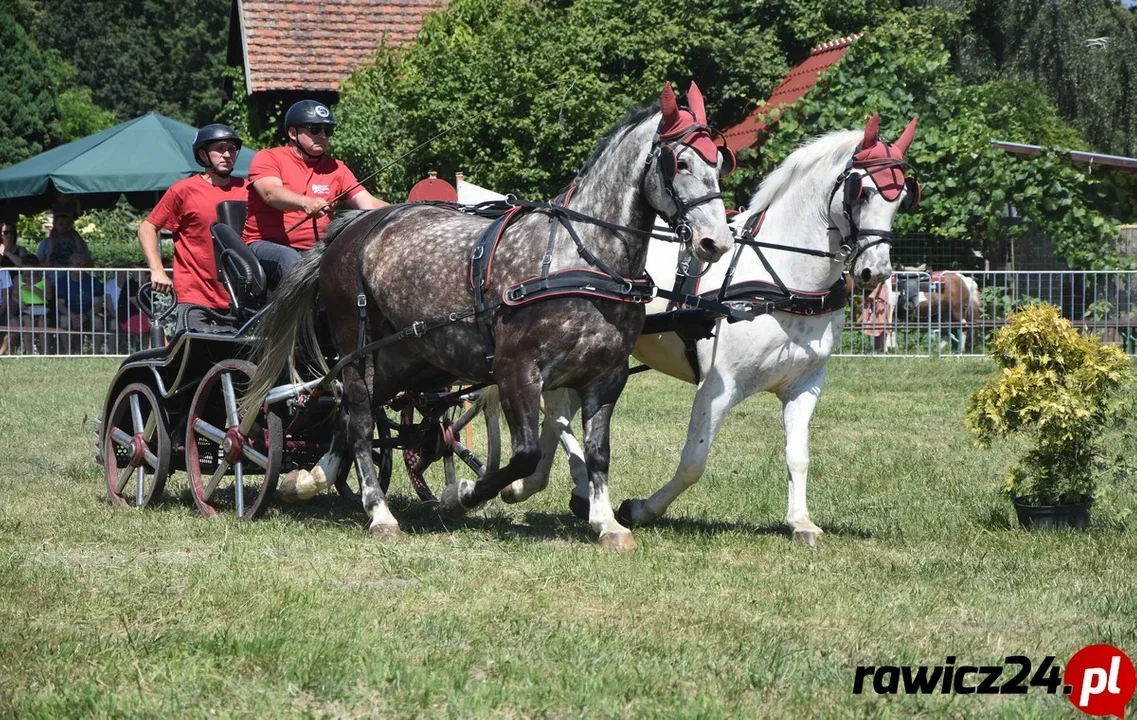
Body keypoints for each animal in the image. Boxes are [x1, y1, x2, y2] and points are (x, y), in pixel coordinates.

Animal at [243, 81, 732, 548]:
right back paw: (378, 513)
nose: (716, 242)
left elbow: (597, 453)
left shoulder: (606, 376)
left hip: (404, 358)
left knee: (347, 410)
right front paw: (459, 495)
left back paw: (310, 479)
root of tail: (350, 228)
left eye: (719, 163)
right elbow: (524, 455)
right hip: (357, 348)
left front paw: (608, 524)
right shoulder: (517, 369)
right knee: (361, 421)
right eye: (679, 163)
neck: (584, 260)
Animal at [493, 113, 918, 543]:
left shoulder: (806, 385)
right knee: (557, 415)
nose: (876, 271)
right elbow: (693, 462)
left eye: (901, 198)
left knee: (555, 417)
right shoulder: (717, 386)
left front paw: (801, 521)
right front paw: (641, 509)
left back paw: (543, 486)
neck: (783, 283)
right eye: (861, 191)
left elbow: (798, 457)